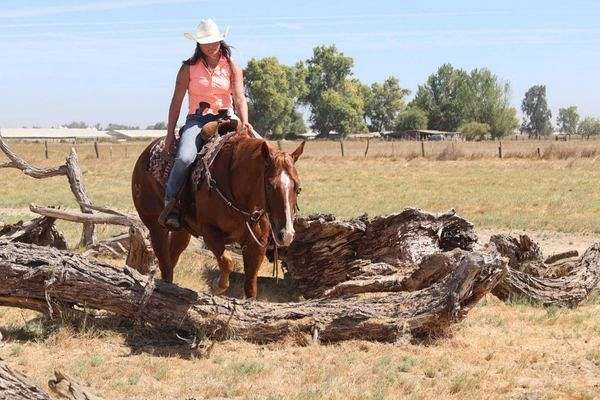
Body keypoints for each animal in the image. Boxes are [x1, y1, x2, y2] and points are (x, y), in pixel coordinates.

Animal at [134, 130, 308, 298]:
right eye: (270, 186)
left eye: (297, 187)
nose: (286, 234)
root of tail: (145, 154)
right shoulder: (210, 232)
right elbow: (227, 261)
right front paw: (217, 285)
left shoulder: (257, 243)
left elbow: (251, 286)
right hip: (155, 227)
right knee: (164, 262)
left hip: (182, 232)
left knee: (172, 259)